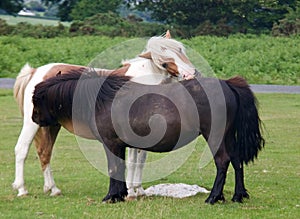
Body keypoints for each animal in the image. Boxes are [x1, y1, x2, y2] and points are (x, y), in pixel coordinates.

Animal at [12, 33, 197, 198]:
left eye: (180, 50)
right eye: (164, 63)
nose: (190, 74)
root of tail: (35, 72)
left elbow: (140, 160)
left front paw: (139, 190)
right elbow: (132, 161)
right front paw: (131, 192)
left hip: (51, 125)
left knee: (45, 152)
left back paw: (53, 189)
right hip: (32, 123)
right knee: (22, 149)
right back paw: (22, 189)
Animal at [31, 69, 264, 204]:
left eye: (36, 99)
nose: (33, 118)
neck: (104, 100)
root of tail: (227, 85)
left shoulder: (111, 143)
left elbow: (114, 168)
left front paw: (111, 196)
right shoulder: (119, 145)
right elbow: (121, 168)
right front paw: (121, 194)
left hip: (215, 136)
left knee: (223, 161)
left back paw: (214, 197)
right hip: (228, 136)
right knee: (237, 161)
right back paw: (238, 195)